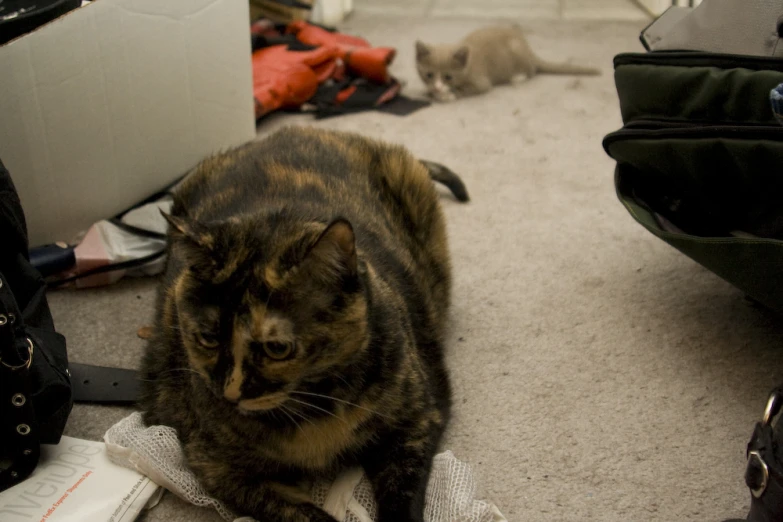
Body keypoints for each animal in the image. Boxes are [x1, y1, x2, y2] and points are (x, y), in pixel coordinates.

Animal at [139, 126, 468, 520]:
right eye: (208, 337)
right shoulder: (218, 466)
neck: (313, 413)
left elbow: (401, 492)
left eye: (278, 348)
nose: (230, 393)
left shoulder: (416, 421)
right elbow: (304, 514)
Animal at [416, 24, 600, 101]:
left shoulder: (481, 80)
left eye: (448, 77)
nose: (437, 87)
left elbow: (468, 89)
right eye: (428, 75)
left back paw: (518, 77)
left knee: (532, 70)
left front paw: (447, 95)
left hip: (518, 52)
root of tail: (529, 49)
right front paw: (430, 91)